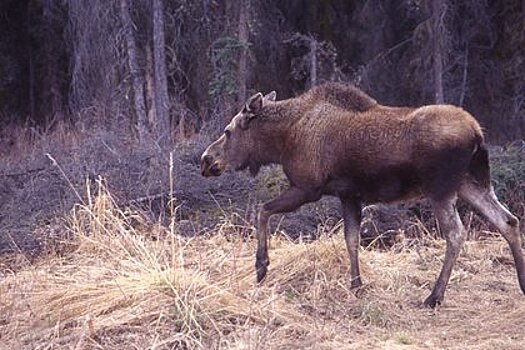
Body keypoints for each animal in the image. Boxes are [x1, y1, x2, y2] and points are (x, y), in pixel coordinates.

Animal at [200, 82, 524, 306]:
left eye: (228, 131)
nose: (206, 160)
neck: (282, 140)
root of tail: (478, 134)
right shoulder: (349, 195)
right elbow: (352, 239)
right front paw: (356, 285)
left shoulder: (308, 188)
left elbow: (263, 210)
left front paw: (261, 267)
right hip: (472, 184)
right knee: (508, 221)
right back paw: (521, 282)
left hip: (442, 189)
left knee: (457, 234)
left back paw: (434, 296)